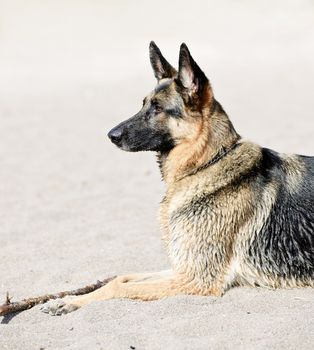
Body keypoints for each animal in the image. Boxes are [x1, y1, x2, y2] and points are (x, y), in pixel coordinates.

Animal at [43, 42, 314, 316]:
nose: (111, 135)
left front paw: (72, 301)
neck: (206, 164)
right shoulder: (182, 268)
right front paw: (69, 299)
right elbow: (121, 278)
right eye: (143, 104)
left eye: (158, 108)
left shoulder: (194, 278)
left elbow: (121, 287)